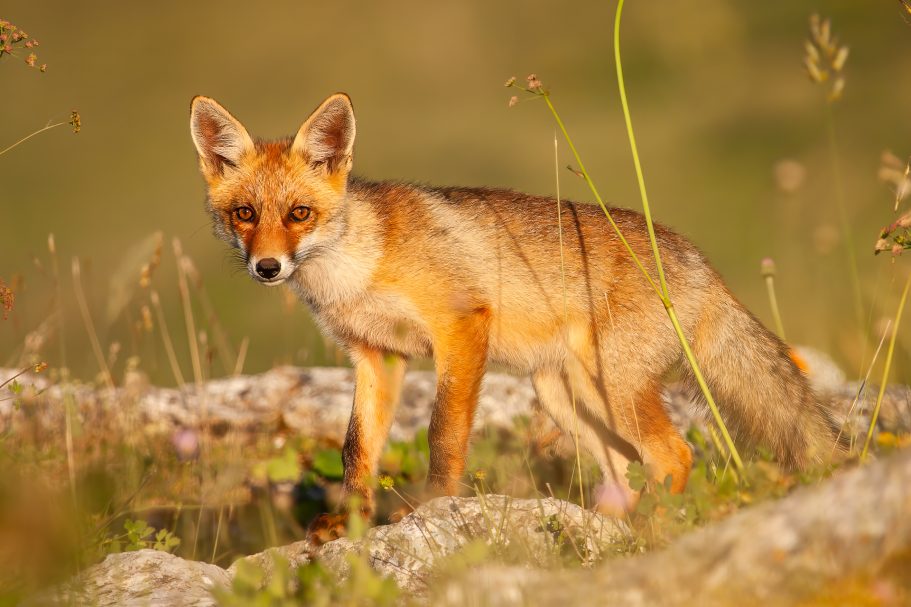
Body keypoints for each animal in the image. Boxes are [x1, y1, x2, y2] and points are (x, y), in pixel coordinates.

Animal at [189, 92, 840, 542]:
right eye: (246, 214)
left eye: (299, 213)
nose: (267, 267)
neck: (356, 270)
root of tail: (696, 257)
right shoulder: (377, 357)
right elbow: (357, 450)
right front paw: (346, 523)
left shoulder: (460, 328)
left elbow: (444, 434)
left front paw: (432, 510)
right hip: (567, 396)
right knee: (627, 470)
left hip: (613, 388)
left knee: (675, 456)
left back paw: (660, 525)